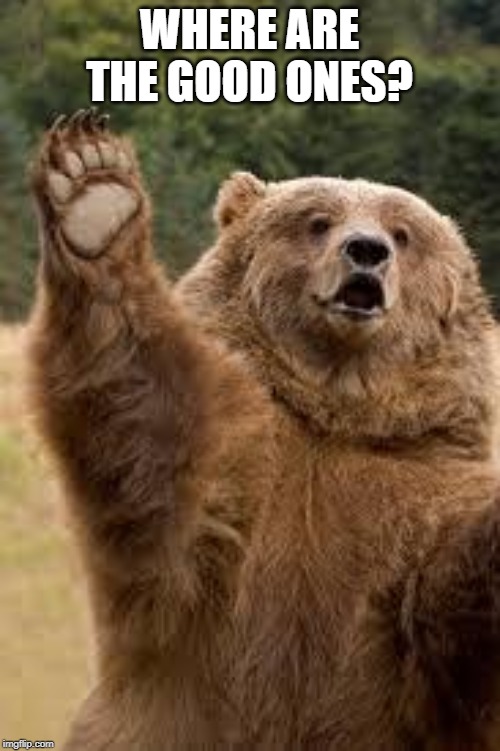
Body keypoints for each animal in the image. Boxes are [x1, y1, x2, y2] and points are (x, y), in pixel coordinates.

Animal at [28, 108, 500, 750]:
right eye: (318, 221)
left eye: (403, 233)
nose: (366, 251)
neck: (333, 415)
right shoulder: (235, 486)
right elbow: (152, 434)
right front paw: (93, 188)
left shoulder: (414, 497)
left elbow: (447, 599)